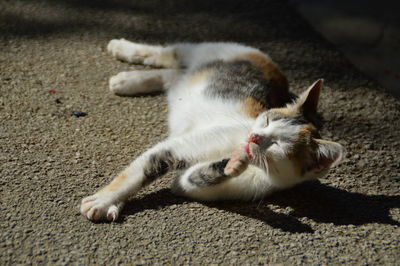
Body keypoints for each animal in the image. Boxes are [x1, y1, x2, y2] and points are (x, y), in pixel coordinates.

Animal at [80, 40, 344, 222]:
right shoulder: (176, 147)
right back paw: (122, 50)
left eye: (279, 145)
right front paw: (103, 201)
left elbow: (194, 177)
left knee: (173, 75)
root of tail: (274, 66)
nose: (254, 137)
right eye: (267, 120)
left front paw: (233, 163)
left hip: (186, 78)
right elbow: (139, 172)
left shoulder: (192, 184)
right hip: (208, 50)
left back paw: (127, 81)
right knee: (168, 53)